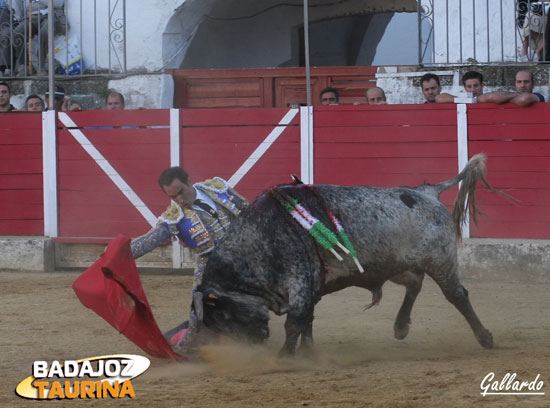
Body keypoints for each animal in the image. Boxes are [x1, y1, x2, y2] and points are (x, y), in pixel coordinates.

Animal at [196, 155, 498, 356]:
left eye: (222, 315)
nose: (251, 343)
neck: (258, 238)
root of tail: (427, 191)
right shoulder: (312, 285)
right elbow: (307, 320)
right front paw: (307, 353)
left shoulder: (301, 280)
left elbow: (296, 321)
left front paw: (284, 357)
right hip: (394, 264)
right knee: (414, 283)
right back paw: (401, 326)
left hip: (440, 261)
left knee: (457, 295)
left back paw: (485, 338)